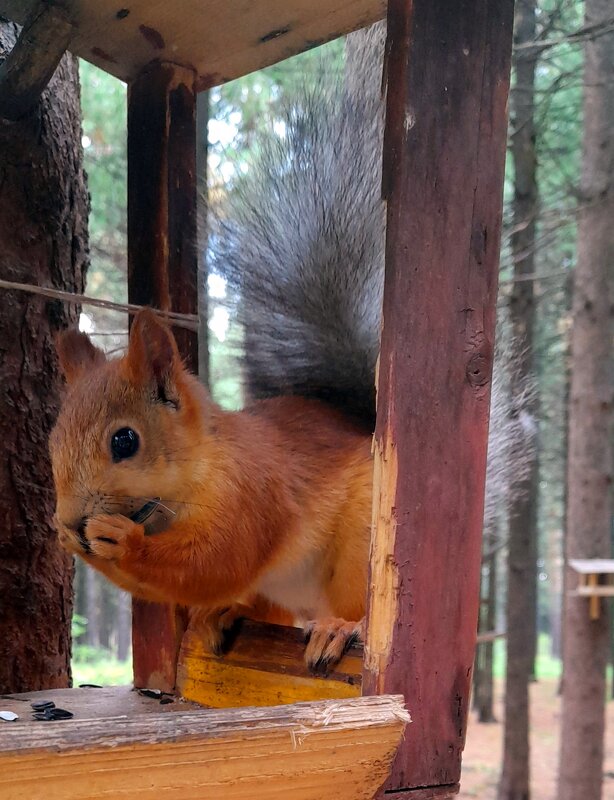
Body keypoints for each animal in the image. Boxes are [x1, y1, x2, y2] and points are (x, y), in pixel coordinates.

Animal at [50, 23, 528, 668]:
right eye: (52, 440)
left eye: (125, 441)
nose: (72, 518)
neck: (193, 477)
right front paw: (67, 535)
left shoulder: (256, 494)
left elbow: (215, 561)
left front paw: (119, 543)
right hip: (281, 586)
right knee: (264, 605)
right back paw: (226, 615)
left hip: (358, 551)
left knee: (344, 603)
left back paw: (340, 629)